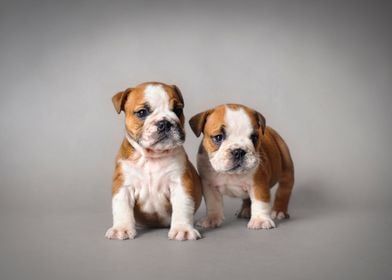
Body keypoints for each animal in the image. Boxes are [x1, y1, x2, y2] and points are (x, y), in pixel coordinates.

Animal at [104, 81, 202, 241]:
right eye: (142, 112)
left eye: (177, 110)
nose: (165, 123)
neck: (152, 157)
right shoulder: (123, 186)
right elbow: (122, 207)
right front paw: (121, 229)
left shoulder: (180, 183)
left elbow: (183, 207)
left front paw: (183, 229)